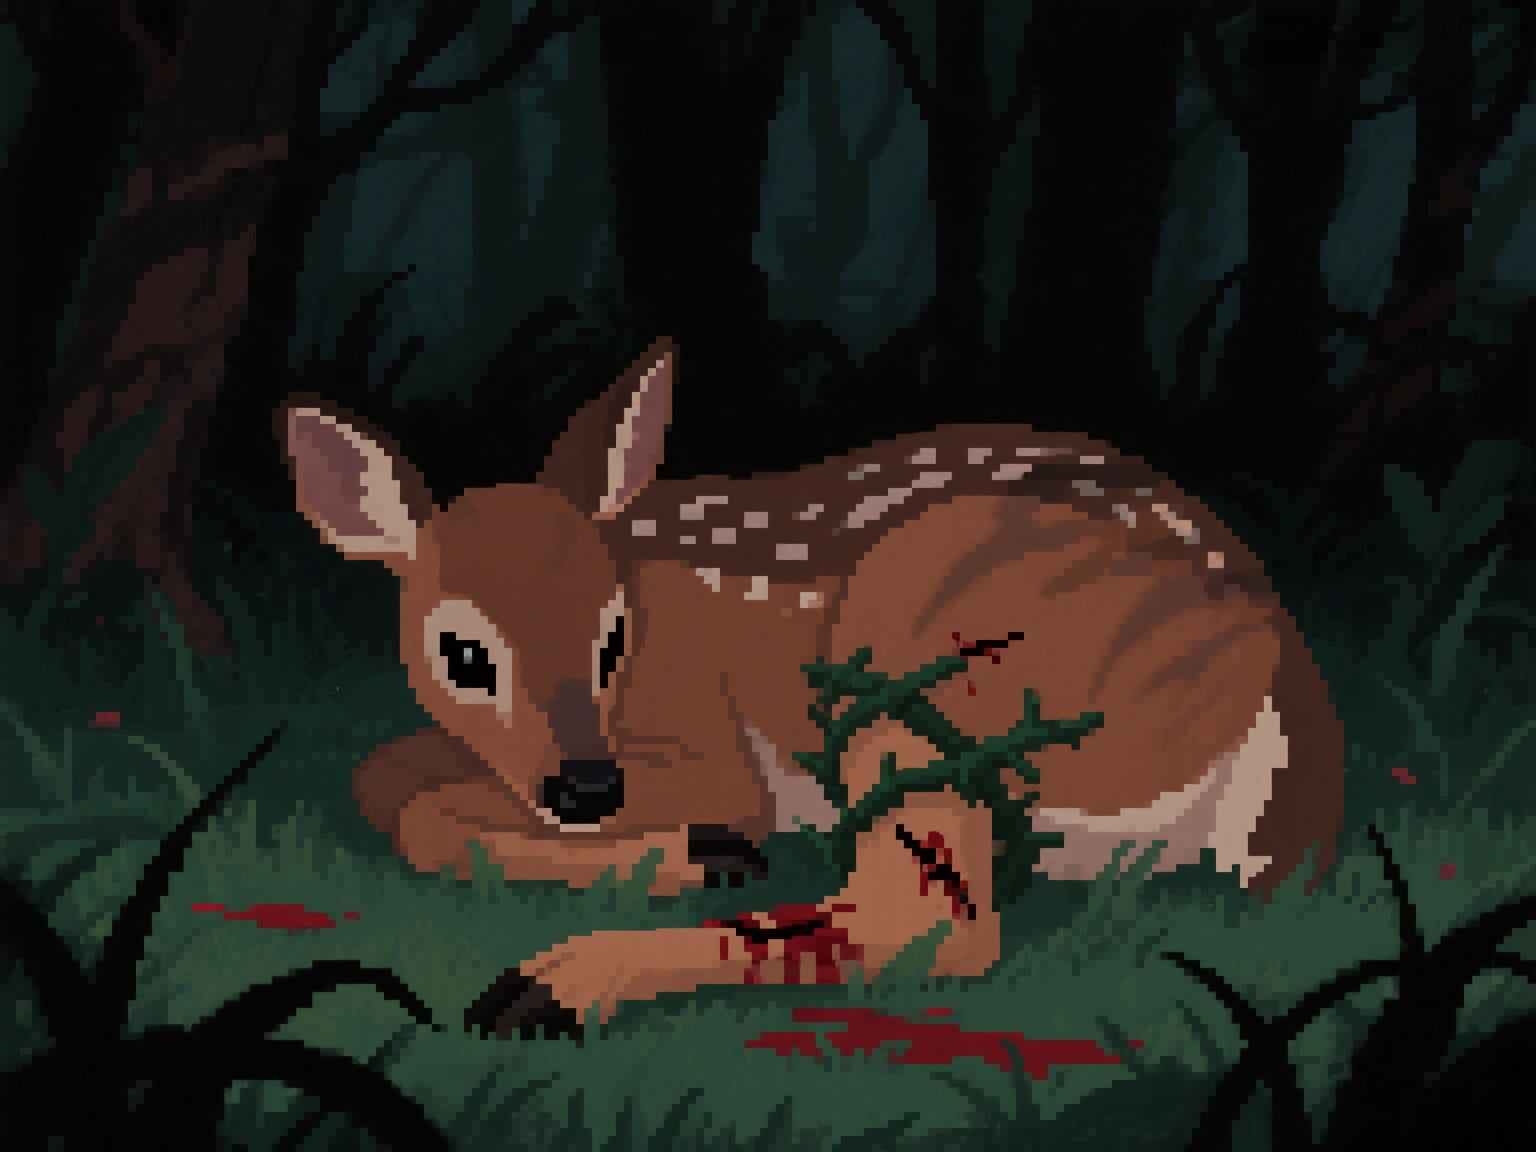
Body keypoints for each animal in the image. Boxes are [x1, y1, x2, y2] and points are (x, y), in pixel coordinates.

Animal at [278, 337, 1344, 1040]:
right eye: (462, 652)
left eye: (614, 633)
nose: (587, 787)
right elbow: (385, 778)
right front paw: (696, 852)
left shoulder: (706, 746)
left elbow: (422, 803)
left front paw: (705, 847)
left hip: (919, 662)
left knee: (934, 920)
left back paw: (551, 986)